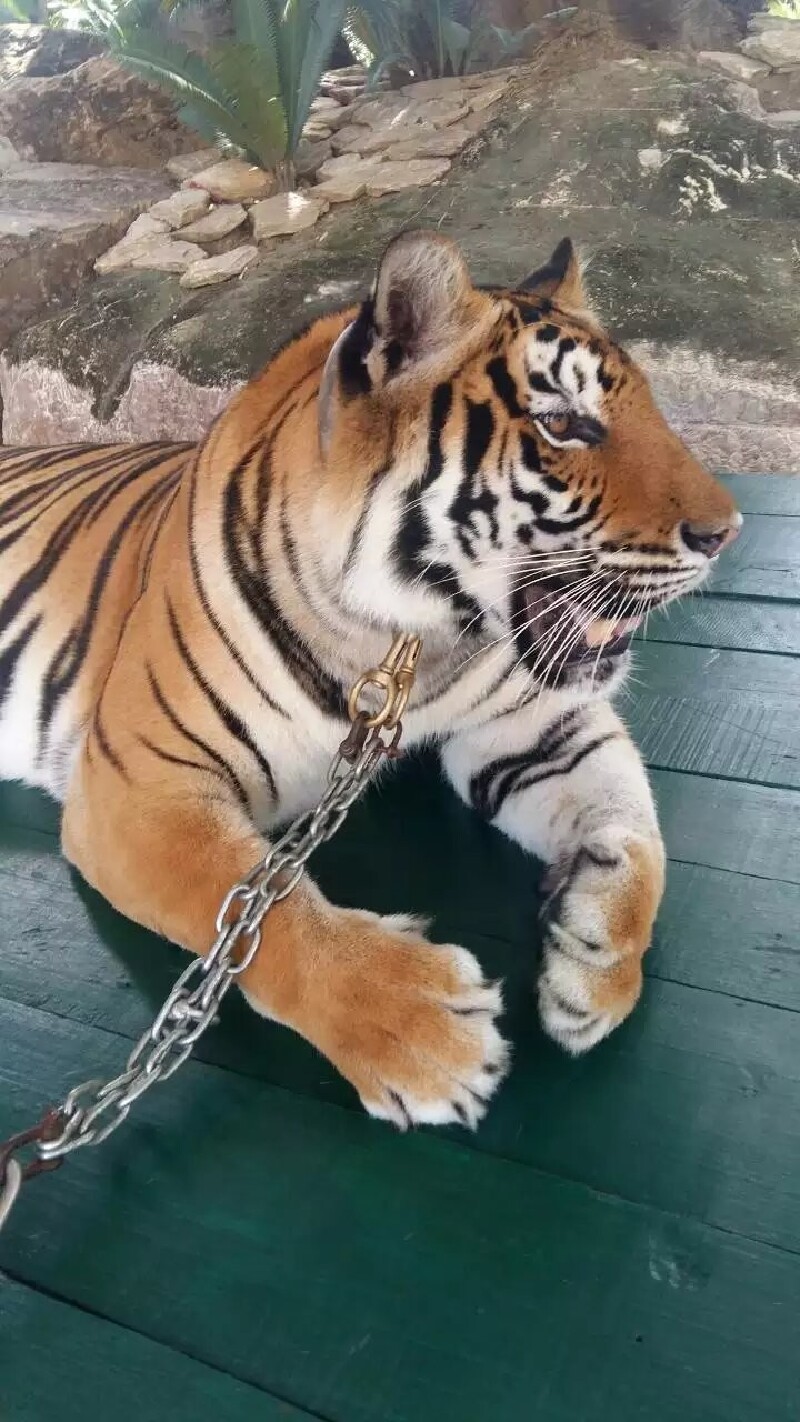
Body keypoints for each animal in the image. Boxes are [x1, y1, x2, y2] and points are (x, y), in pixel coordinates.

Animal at [0, 230, 740, 1131]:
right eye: (563, 423)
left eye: (651, 409)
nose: (728, 532)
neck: (417, 642)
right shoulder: (139, 786)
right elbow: (259, 906)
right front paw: (423, 1031)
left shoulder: (538, 722)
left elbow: (635, 830)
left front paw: (594, 968)